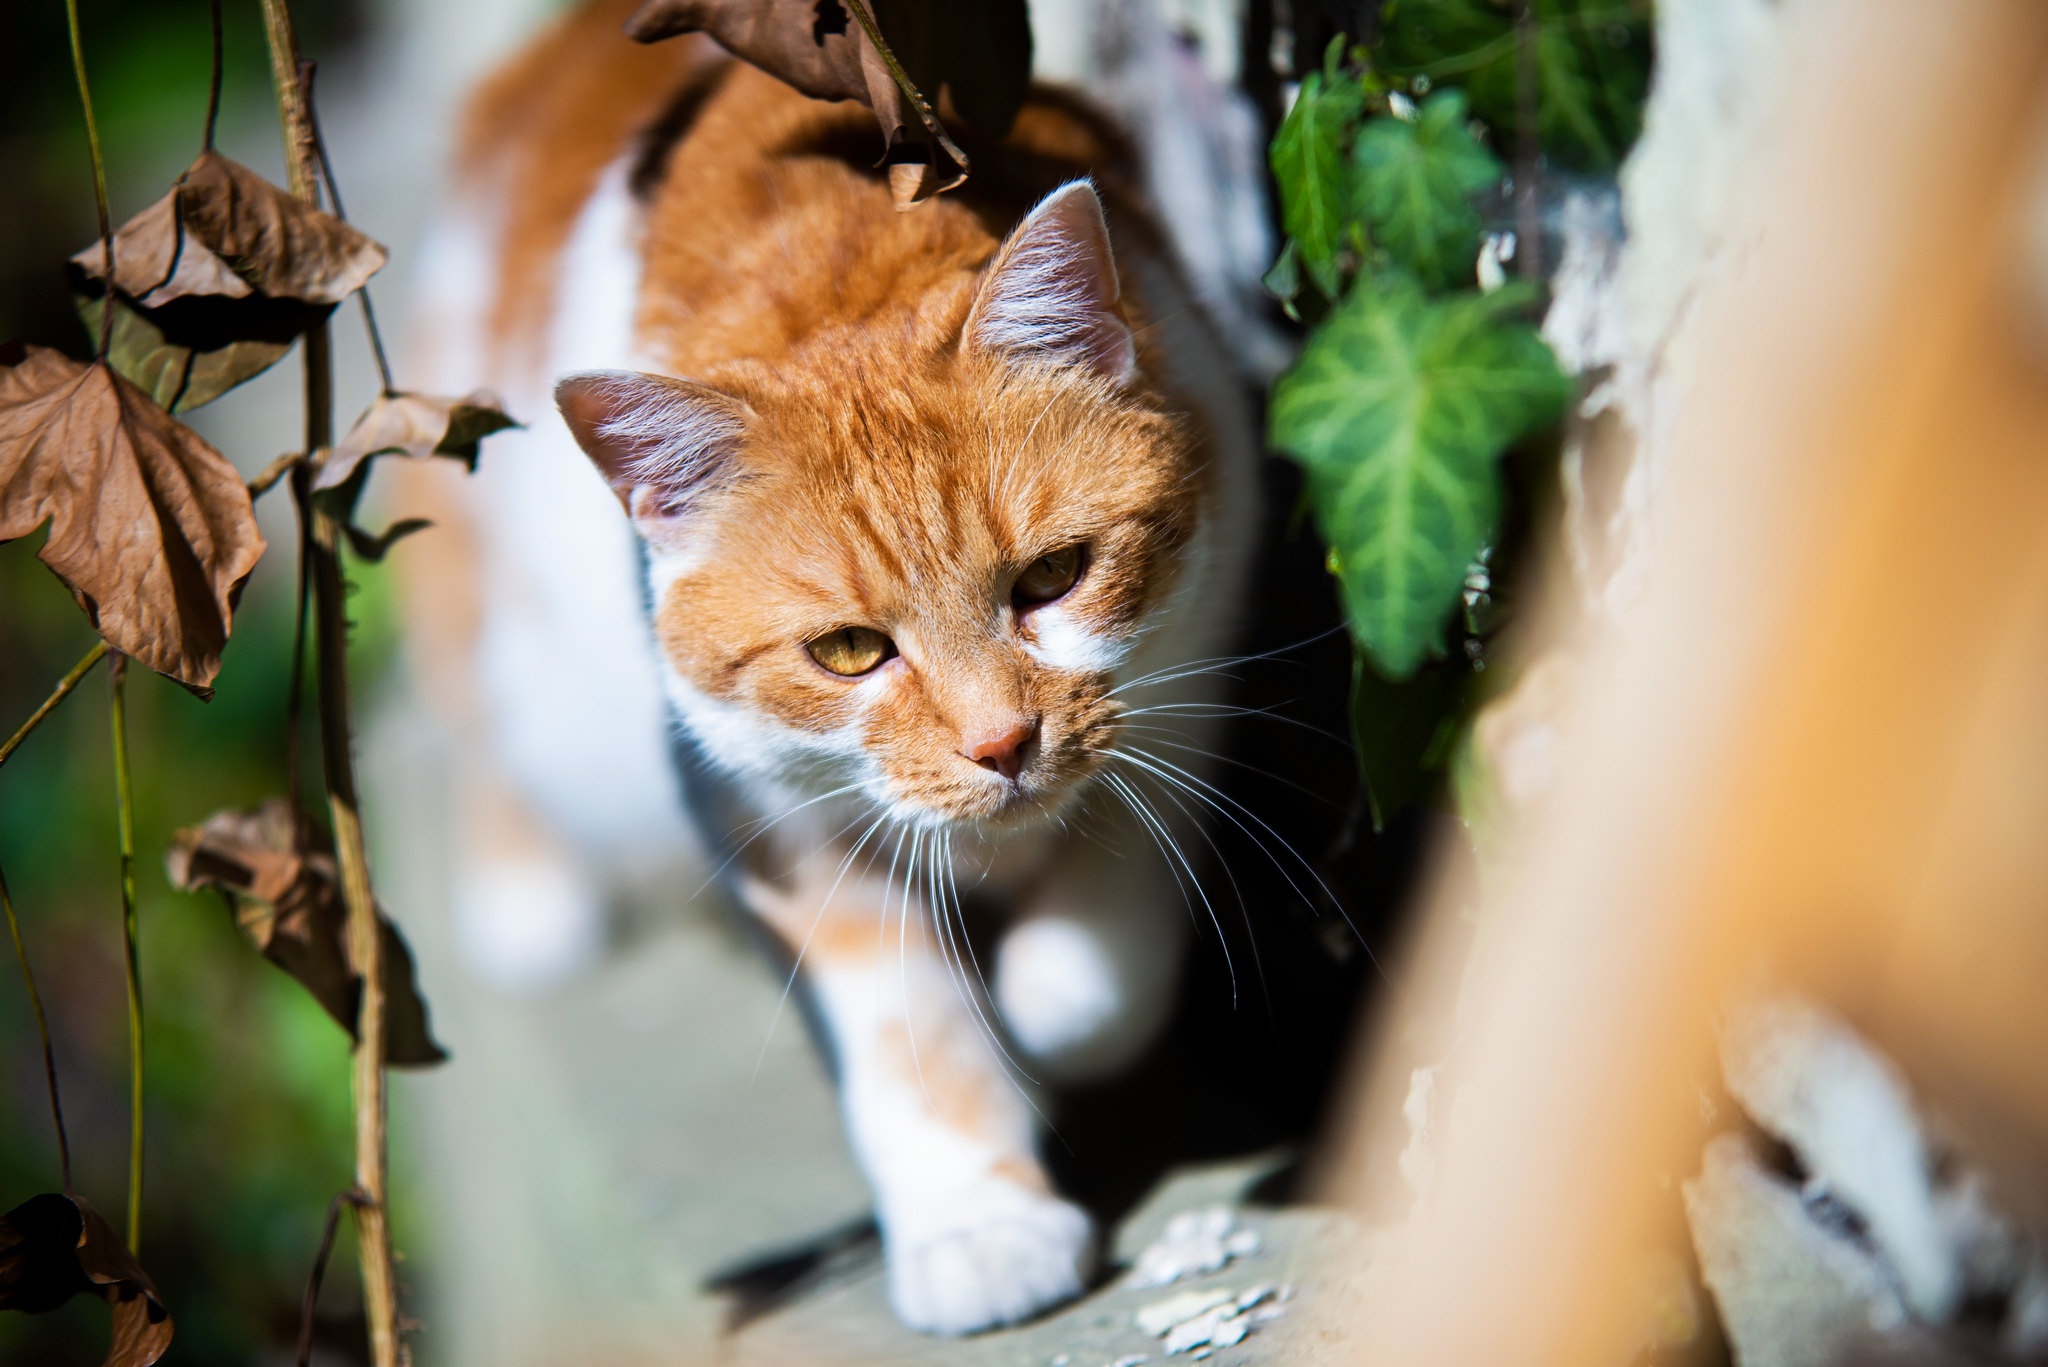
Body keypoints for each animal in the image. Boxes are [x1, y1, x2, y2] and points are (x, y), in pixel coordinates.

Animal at [401, 2, 1261, 1336]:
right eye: (850, 651)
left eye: (1053, 577)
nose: (1001, 744)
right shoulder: (774, 822)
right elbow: (907, 1032)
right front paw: (978, 1221)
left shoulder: (1194, 649)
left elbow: (1104, 944)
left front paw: (1051, 1009)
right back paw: (526, 891)